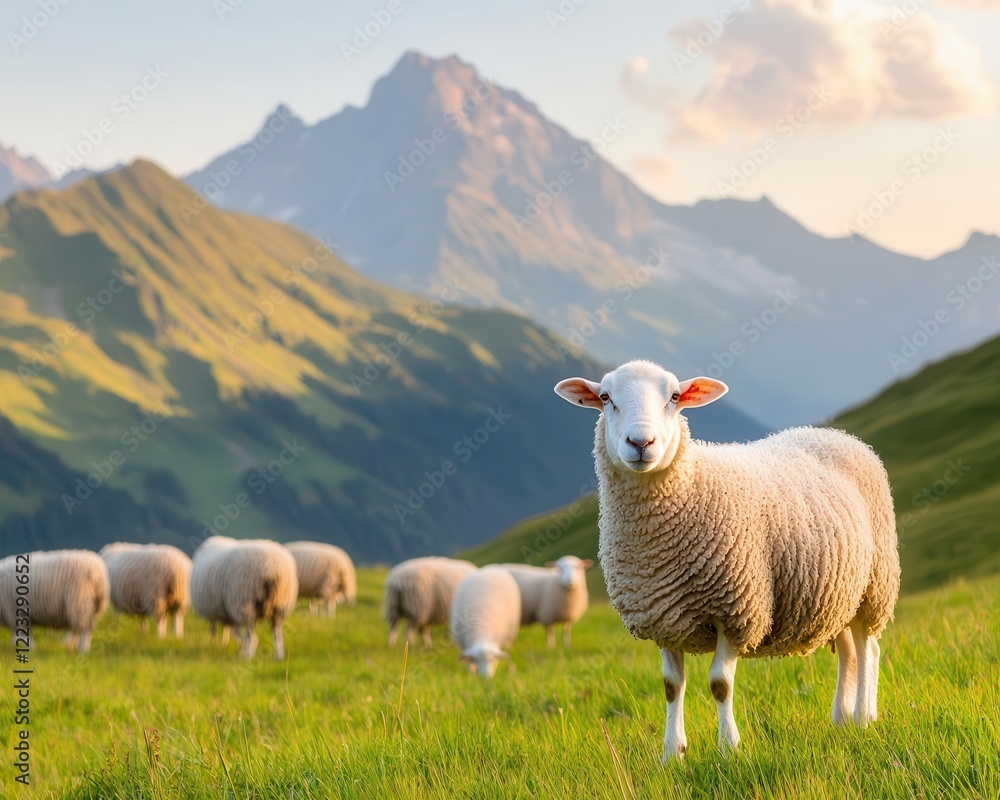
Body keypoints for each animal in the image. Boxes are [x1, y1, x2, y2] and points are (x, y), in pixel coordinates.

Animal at [555, 360, 900, 760]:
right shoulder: (662, 613)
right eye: (606, 397)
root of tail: (836, 434)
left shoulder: (738, 611)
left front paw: (729, 748)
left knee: (868, 648)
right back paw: (841, 719)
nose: (641, 443)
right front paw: (671, 753)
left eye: (675, 396)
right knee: (848, 652)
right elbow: (671, 686)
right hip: (837, 594)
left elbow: (720, 684)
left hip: (874, 585)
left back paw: (863, 716)